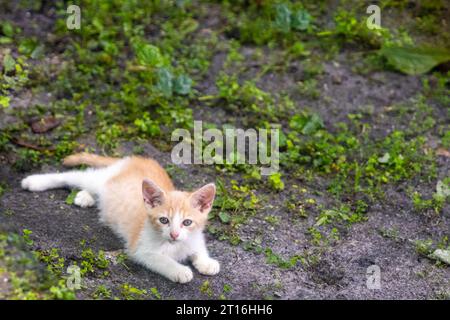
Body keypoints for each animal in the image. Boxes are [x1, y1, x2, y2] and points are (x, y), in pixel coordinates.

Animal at [20, 152, 221, 282]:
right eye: (164, 220)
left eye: (187, 222)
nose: (174, 234)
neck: (175, 246)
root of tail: (137, 159)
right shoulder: (141, 249)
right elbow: (162, 260)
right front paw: (179, 270)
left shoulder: (194, 236)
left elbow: (198, 247)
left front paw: (207, 262)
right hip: (98, 179)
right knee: (72, 175)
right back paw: (34, 181)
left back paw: (85, 197)